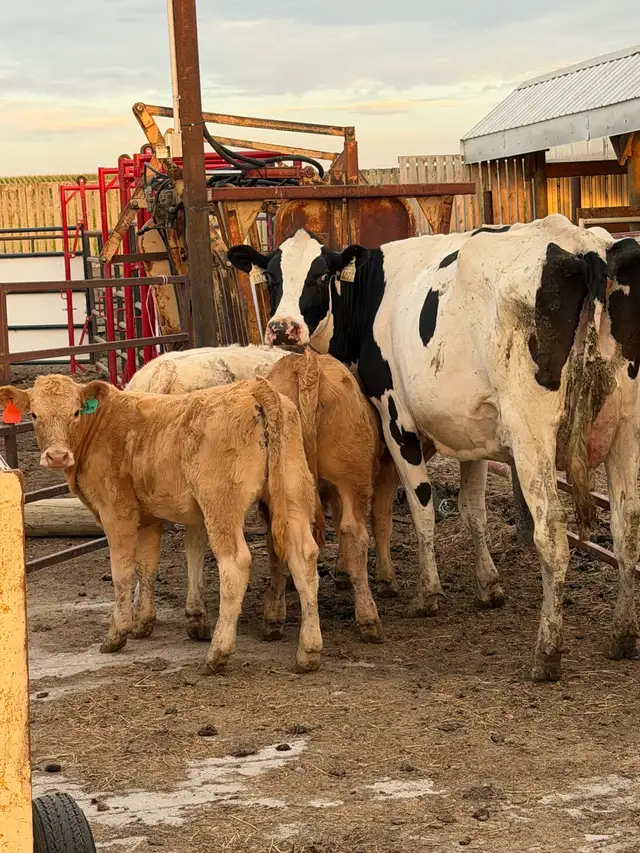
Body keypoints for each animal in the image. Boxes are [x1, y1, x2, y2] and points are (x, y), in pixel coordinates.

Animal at [0, 374, 323, 674]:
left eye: (76, 412)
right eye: (34, 415)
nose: (57, 456)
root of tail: (254, 387)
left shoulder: (116, 511)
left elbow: (122, 571)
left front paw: (117, 633)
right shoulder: (151, 516)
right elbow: (150, 564)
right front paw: (146, 622)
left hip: (221, 503)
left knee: (236, 564)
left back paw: (218, 654)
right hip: (292, 493)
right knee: (303, 556)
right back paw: (308, 652)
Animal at [228, 216, 640, 681]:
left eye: (319, 276)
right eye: (272, 278)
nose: (283, 328)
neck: (374, 292)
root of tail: (585, 245)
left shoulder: (396, 421)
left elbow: (422, 509)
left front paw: (427, 593)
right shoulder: (472, 433)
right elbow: (473, 510)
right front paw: (488, 585)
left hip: (532, 432)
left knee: (551, 530)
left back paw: (546, 653)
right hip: (626, 428)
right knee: (628, 525)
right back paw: (622, 636)